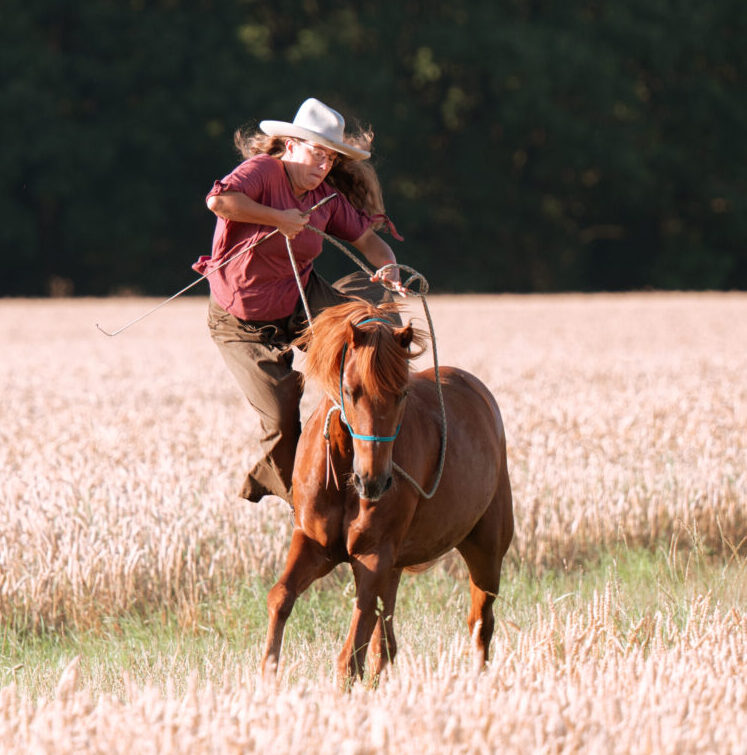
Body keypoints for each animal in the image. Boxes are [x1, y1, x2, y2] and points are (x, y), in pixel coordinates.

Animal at [261, 299, 513, 686]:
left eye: (402, 393)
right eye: (350, 390)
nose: (373, 482)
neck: (344, 478)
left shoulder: (373, 557)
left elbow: (351, 655)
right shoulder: (314, 545)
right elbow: (280, 597)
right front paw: (267, 677)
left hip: (485, 553)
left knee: (480, 622)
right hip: (394, 568)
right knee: (387, 643)